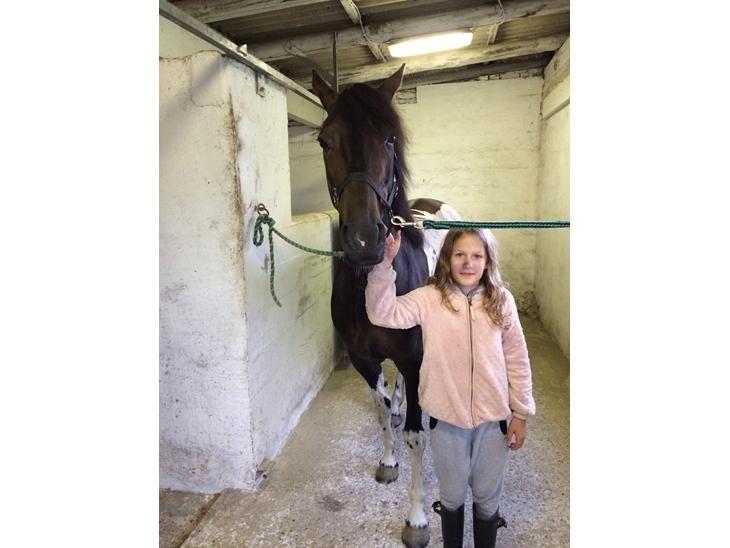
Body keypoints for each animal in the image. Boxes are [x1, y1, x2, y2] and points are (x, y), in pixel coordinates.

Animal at [312, 65, 458, 547]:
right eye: (324, 140)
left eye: (391, 139)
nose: (364, 241)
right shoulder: (364, 358)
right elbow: (379, 406)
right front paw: (388, 461)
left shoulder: (413, 359)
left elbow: (415, 435)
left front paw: (416, 519)